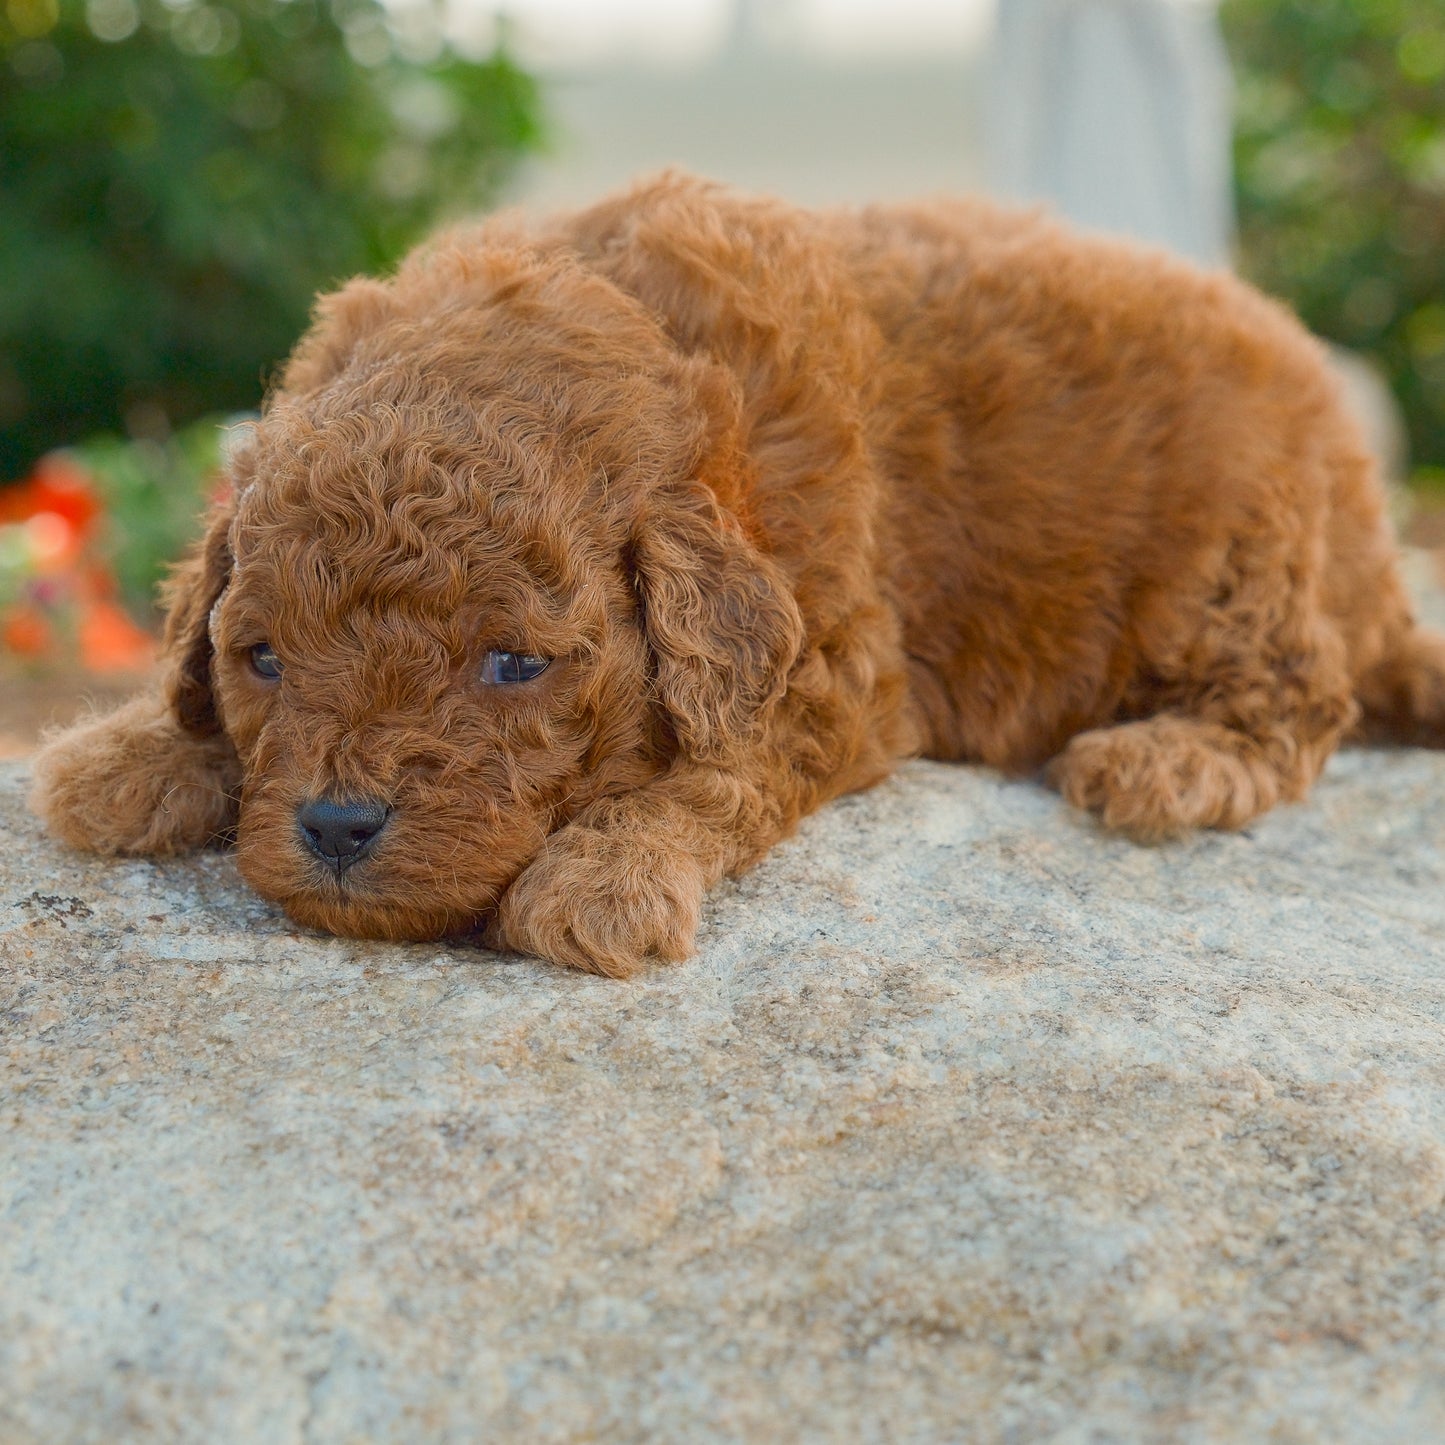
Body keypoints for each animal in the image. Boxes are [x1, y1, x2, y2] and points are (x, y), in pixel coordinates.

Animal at [31, 174, 1445, 976]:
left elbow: (714, 770)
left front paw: (602, 877)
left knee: (1299, 697)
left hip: (1235, 554)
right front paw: (129, 752)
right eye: (261, 657)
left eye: (514, 664)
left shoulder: (835, 666)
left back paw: (1165, 760)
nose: (334, 826)